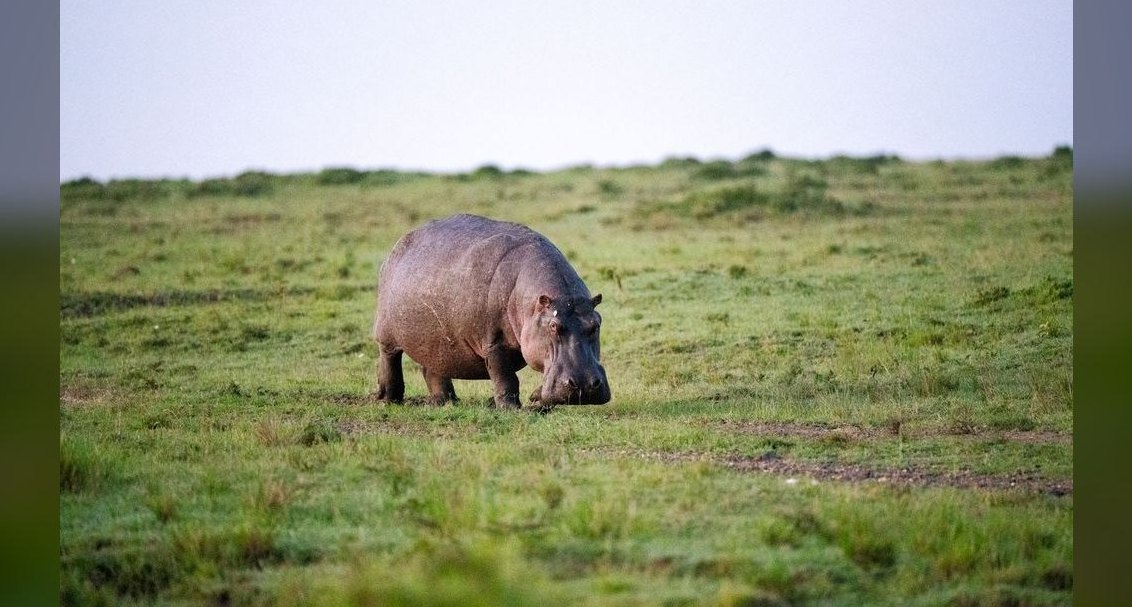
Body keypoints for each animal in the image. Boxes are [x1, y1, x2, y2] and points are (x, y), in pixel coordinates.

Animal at [372, 214, 611, 409]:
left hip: (435, 339)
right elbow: (505, 378)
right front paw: (511, 409)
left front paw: (536, 398)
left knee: (433, 369)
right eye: (553, 326)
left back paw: (446, 402)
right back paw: (389, 400)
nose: (584, 386)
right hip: (386, 333)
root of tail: (401, 241)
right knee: (390, 360)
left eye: (596, 324)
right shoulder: (494, 342)